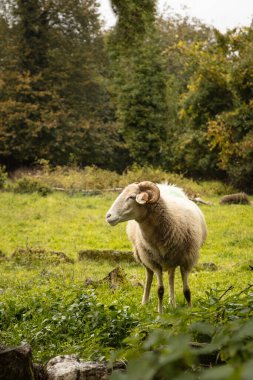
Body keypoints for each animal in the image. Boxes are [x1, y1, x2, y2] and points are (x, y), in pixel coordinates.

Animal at [105, 183, 207, 314]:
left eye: (132, 197)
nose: (108, 216)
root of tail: (166, 186)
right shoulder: (155, 262)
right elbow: (160, 290)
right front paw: (160, 312)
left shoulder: (187, 260)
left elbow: (187, 290)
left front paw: (190, 310)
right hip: (143, 256)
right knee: (149, 275)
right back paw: (145, 302)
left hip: (171, 259)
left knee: (171, 276)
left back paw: (172, 303)